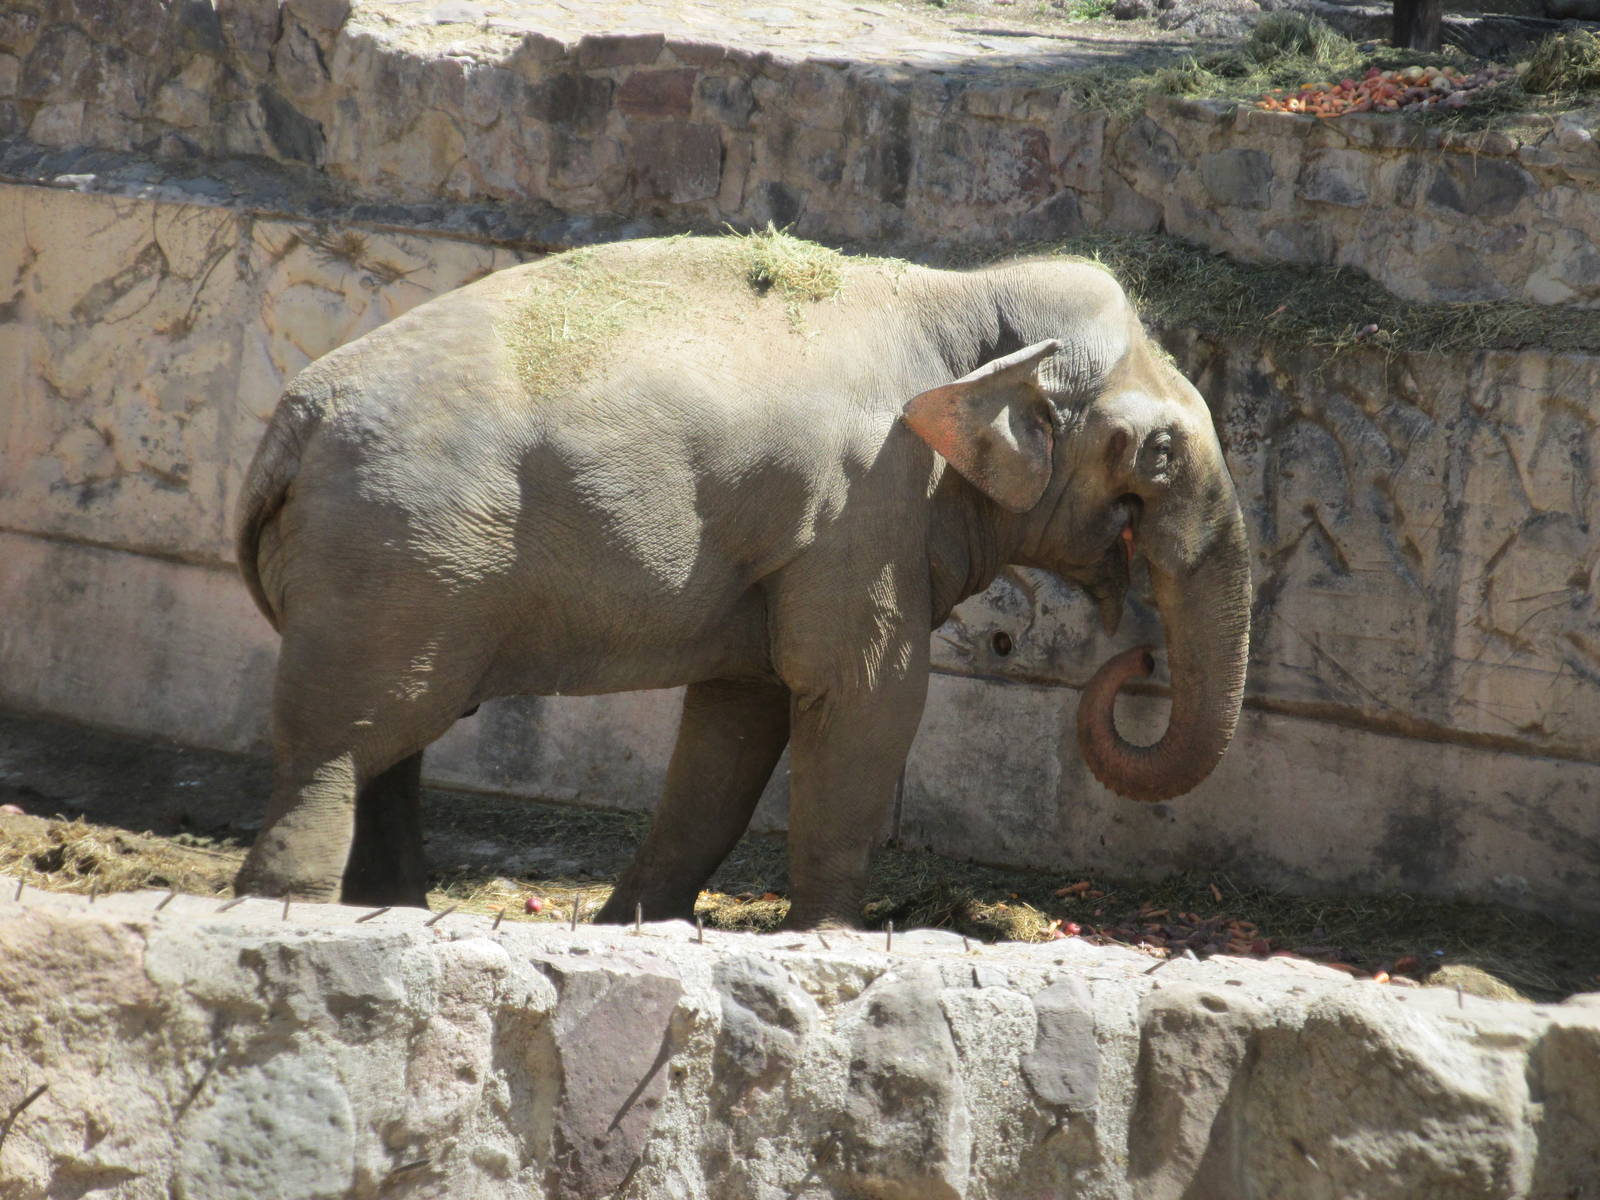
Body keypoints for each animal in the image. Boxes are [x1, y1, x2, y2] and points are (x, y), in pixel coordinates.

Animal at [232, 233, 1250, 929]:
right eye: (1158, 451)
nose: (1138, 664)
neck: (957, 298)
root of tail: (290, 423)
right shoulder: (862, 510)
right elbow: (868, 696)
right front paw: (829, 936)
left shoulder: (795, 546)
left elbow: (737, 719)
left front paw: (635, 927)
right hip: (396, 557)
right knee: (348, 738)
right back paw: (293, 910)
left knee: (391, 744)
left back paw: (392, 911)